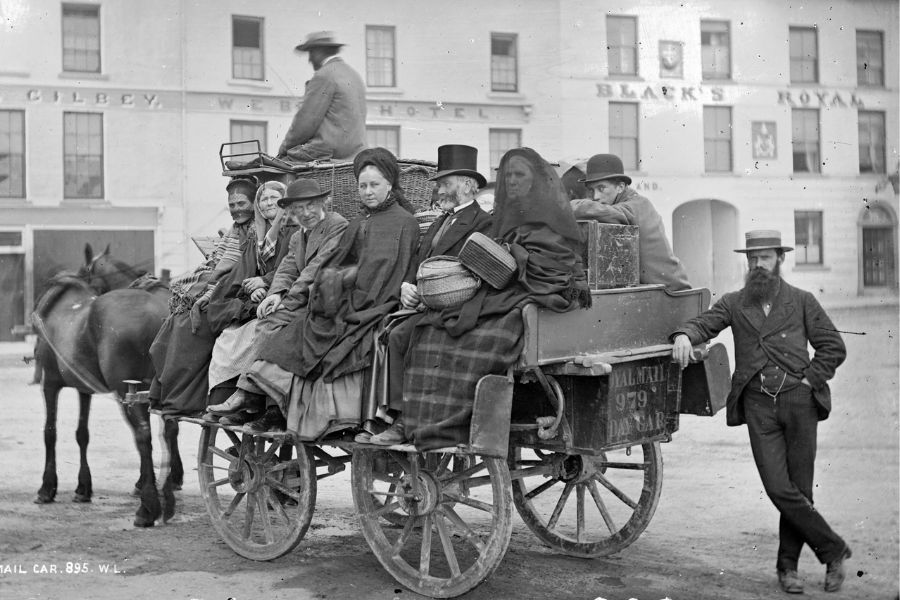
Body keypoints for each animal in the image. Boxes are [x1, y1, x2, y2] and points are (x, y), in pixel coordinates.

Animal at [33, 248, 178, 524]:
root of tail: (159, 314)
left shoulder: (50, 383)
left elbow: (49, 432)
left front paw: (47, 487)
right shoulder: (84, 388)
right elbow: (82, 434)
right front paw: (83, 487)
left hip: (126, 391)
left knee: (143, 435)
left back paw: (149, 506)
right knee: (168, 429)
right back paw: (167, 492)